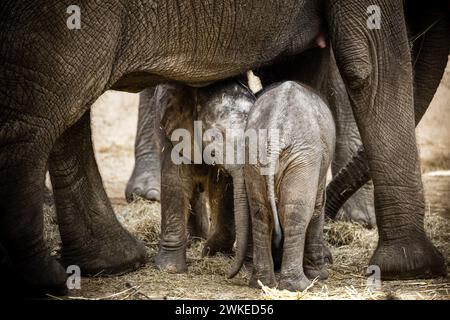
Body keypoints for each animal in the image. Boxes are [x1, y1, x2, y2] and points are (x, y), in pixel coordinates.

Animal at [244, 81, 336, 292]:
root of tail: (275, 132)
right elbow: (318, 206)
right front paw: (320, 275)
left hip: (253, 154)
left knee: (260, 214)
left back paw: (262, 283)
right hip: (303, 158)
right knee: (297, 212)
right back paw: (299, 286)